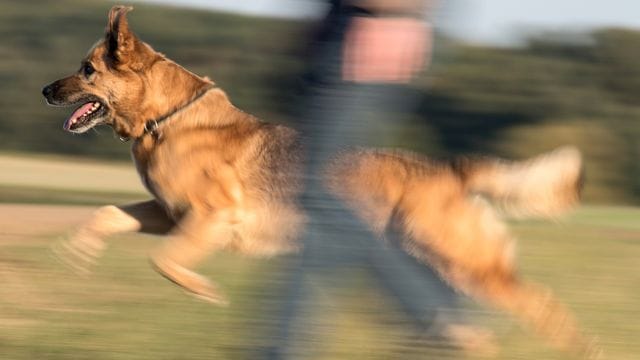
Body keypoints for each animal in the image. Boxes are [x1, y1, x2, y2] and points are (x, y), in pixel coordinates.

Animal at [43, 4, 600, 358]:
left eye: (87, 70)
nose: (46, 91)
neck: (167, 119)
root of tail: (450, 169)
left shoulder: (210, 218)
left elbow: (164, 262)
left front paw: (205, 292)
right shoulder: (167, 213)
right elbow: (107, 215)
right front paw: (78, 255)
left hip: (467, 263)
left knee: (545, 307)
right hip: (422, 258)